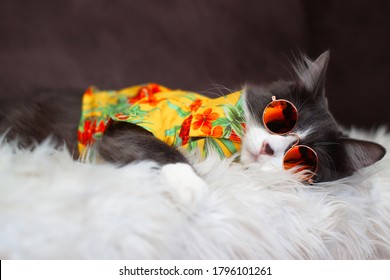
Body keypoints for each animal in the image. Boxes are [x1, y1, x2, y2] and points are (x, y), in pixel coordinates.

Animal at [0, 50, 386, 187]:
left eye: (301, 158)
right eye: (280, 118)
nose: (267, 149)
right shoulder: (125, 124)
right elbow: (164, 151)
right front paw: (194, 189)